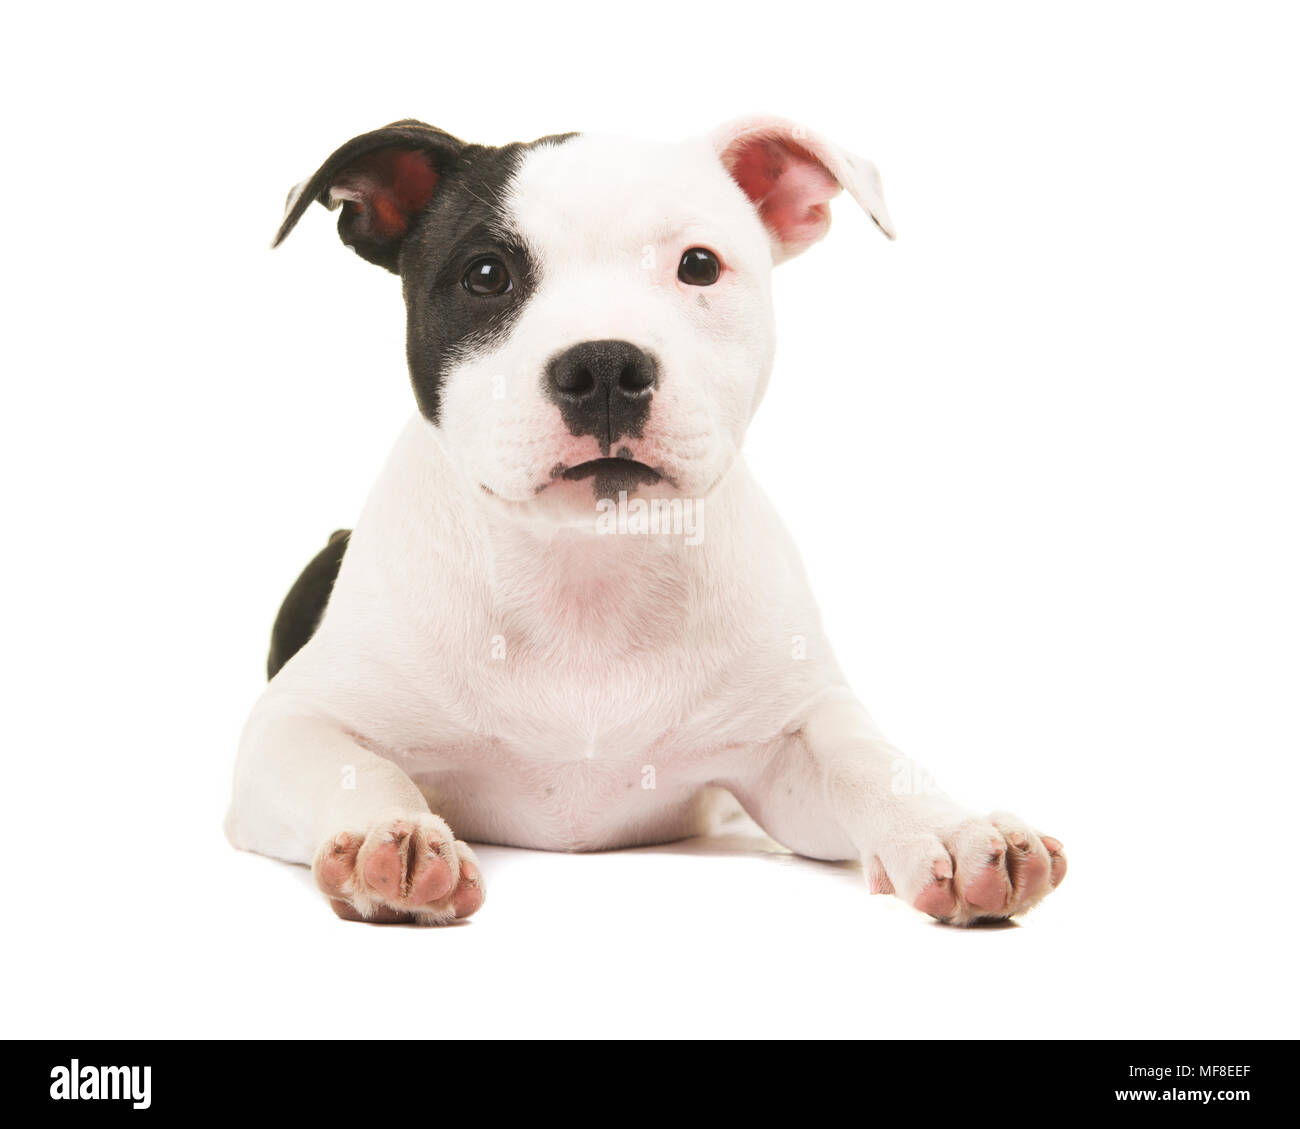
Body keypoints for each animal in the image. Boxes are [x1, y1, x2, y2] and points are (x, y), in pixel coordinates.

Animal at [228, 117, 1071, 926]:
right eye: (486, 274)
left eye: (698, 265)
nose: (604, 365)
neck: (586, 570)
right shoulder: (290, 726)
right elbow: (357, 765)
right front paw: (386, 835)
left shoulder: (791, 744)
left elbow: (864, 760)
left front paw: (951, 829)